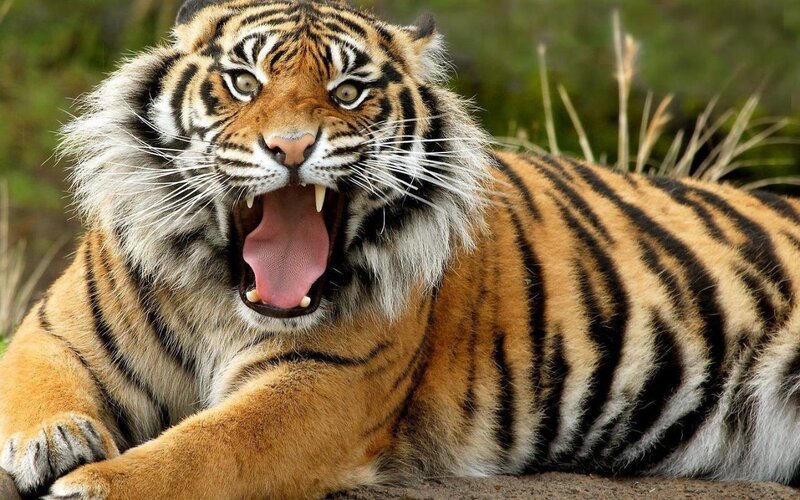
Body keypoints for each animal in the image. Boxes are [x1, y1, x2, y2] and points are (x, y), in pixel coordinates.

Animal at [2, 0, 800, 498]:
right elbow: (34, 385)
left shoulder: (323, 384)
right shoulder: (54, 332)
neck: (222, 296)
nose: (292, 147)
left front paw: (92, 486)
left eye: (349, 91)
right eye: (244, 82)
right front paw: (54, 441)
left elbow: (203, 452)